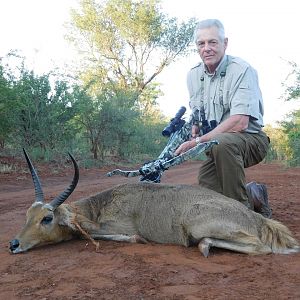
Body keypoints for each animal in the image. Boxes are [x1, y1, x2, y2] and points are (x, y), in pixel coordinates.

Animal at [8, 149, 298, 256]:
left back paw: (205, 246)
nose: (13, 244)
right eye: (27, 215)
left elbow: (116, 236)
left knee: (260, 247)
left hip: (197, 224)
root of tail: (257, 219)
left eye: (47, 218)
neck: (99, 206)